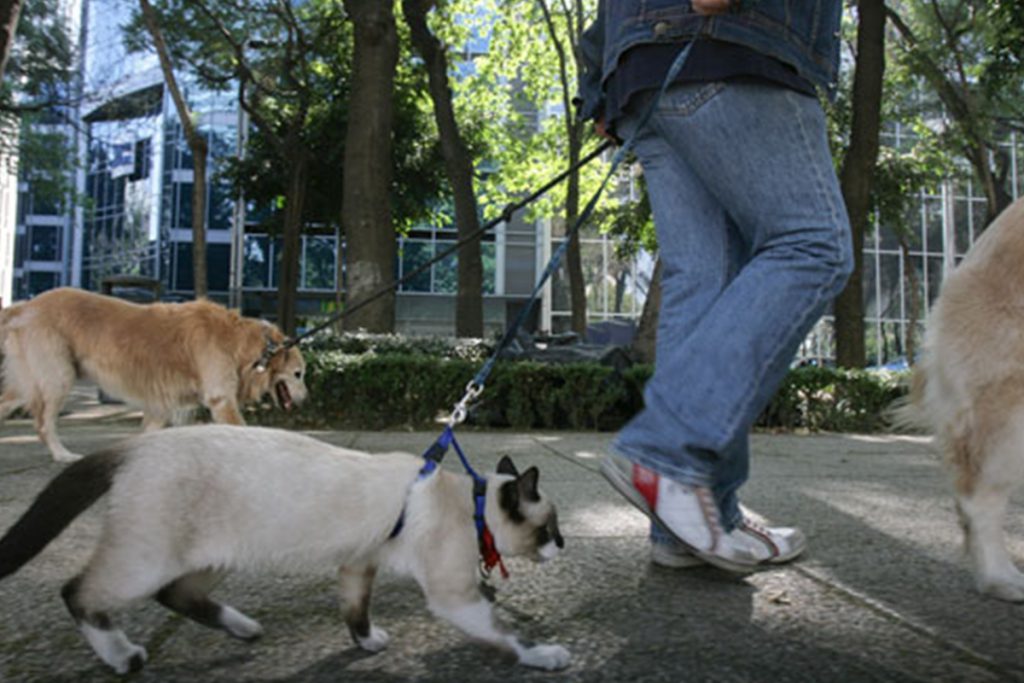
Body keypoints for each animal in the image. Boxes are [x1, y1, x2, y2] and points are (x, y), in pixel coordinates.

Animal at [0, 288, 305, 464]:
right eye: (299, 374)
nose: (306, 399)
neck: (245, 344)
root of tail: (25, 306)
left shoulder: (165, 406)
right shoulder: (221, 399)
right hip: (58, 376)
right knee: (44, 423)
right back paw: (62, 454)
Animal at [0, 428, 569, 671]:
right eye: (550, 529)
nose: (564, 544)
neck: (468, 502)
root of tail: (135, 445)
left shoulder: (358, 564)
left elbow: (356, 613)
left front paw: (368, 645)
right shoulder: (454, 596)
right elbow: (506, 635)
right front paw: (546, 655)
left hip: (212, 557)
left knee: (175, 595)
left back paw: (245, 628)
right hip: (146, 561)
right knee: (78, 592)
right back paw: (124, 657)